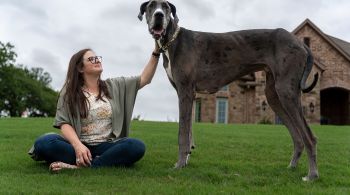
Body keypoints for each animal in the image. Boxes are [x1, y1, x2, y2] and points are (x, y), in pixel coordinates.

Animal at [138, 0, 318, 181]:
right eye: (151, 6)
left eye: (166, 7)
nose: (159, 15)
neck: (172, 40)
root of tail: (301, 43)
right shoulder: (187, 94)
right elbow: (188, 132)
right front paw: (185, 160)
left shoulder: (185, 91)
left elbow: (182, 133)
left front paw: (179, 165)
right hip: (274, 95)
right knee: (298, 137)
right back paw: (292, 167)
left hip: (286, 92)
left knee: (309, 137)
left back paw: (312, 175)